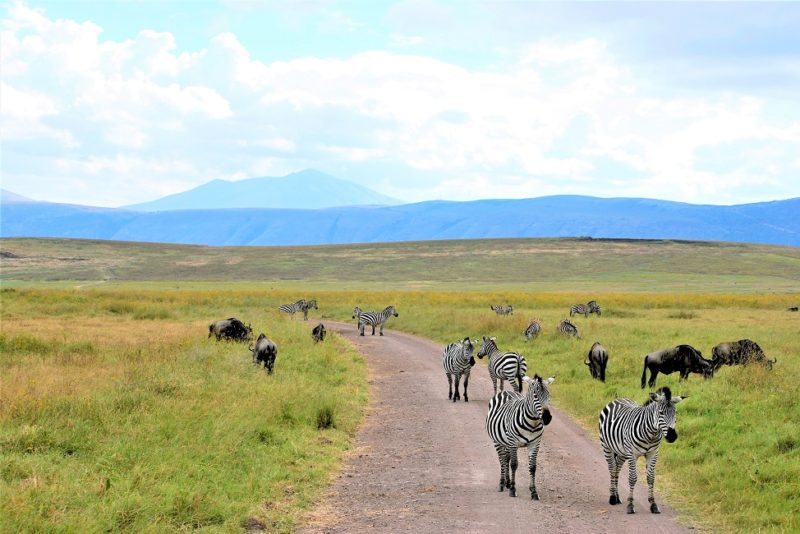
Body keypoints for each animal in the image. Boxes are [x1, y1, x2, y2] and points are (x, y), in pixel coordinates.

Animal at [600, 388, 688, 516]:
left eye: (675, 413)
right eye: (661, 413)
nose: (672, 437)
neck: (651, 435)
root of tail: (619, 399)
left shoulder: (653, 454)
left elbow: (651, 478)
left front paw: (653, 504)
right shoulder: (632, 454)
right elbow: (632, 478)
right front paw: (630, 505)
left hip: (622, 452)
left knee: (617, 469)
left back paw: (617, 497)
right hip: (607, 447)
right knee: (612, 469)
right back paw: (612, 498)